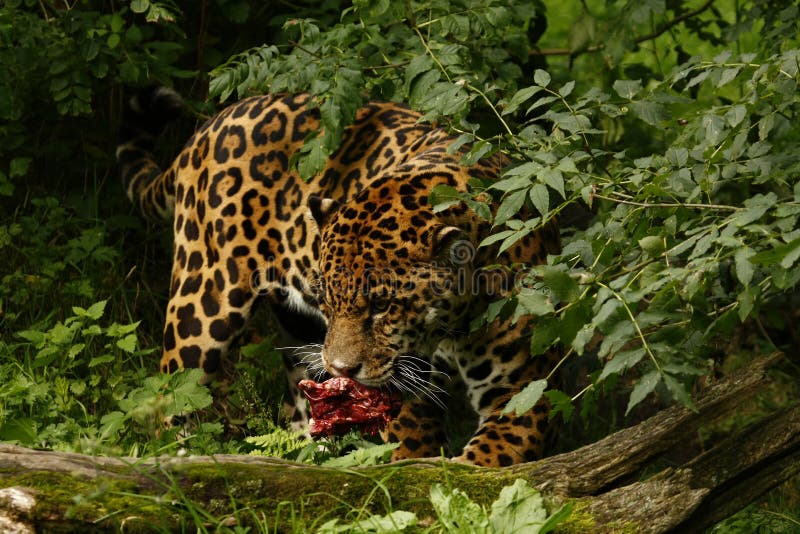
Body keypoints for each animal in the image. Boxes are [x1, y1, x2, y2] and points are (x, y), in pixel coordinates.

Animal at [116, 87, 561, 467]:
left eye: (382, 306)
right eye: (329, 303)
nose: (343, 370)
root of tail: (213, 123)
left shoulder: (522, 390)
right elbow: (412, 448)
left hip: (299, 336)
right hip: (203, 306)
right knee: (170, 396)